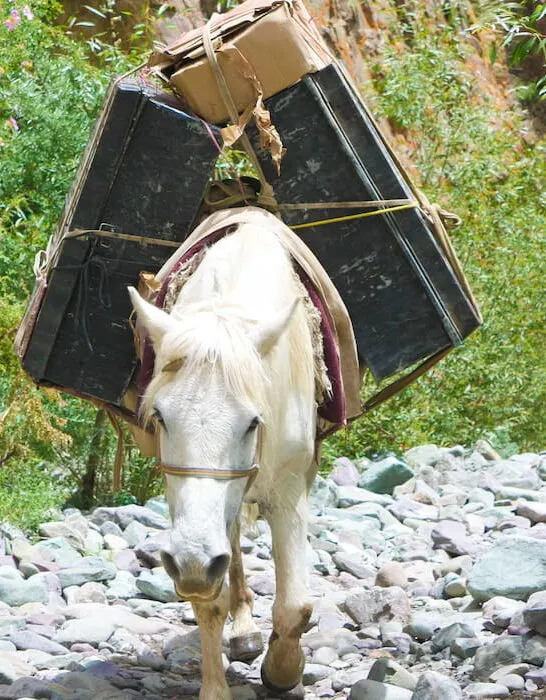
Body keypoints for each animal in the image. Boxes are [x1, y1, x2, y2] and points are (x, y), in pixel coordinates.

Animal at [127, 216, 314, 696]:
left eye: (253, 422)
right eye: (160, 417)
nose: (194, 562)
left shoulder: (289, 488)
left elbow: (294, 606)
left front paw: (283, 671)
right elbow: (210, 599)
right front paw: (216, 687)